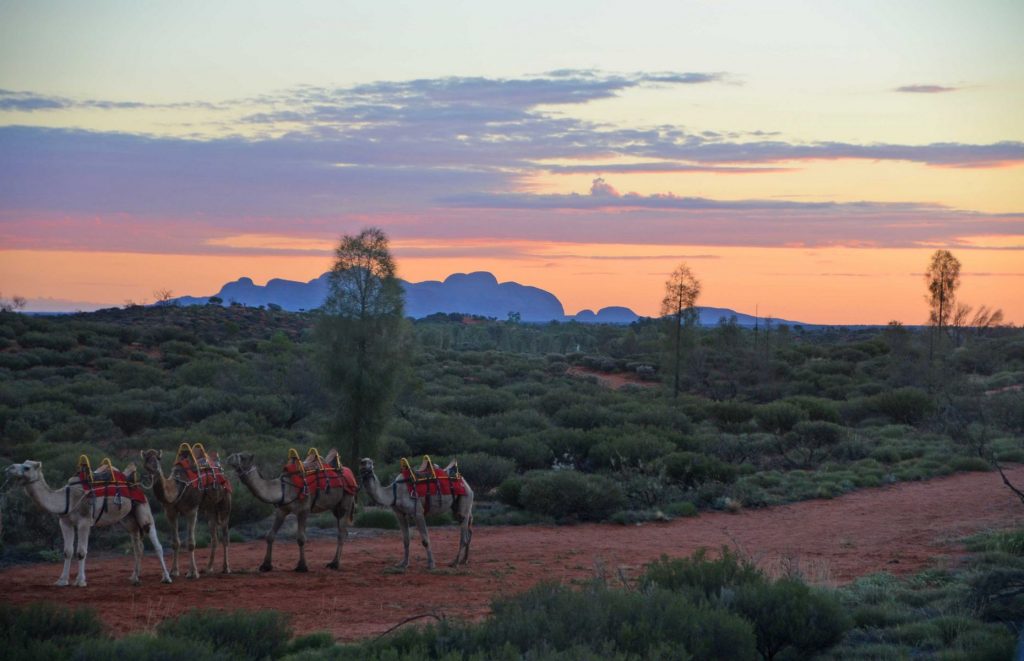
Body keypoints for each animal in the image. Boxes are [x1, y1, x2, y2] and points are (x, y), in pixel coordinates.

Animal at [3, 458, 171, 589]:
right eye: (22, 463)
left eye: (27, 467)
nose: (9, 468)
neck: (66, 499)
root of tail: (134, 483)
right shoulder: (65, 522)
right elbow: (67, 551)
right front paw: (62, 581)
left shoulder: (84, 521)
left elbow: (81, 551)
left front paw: (80, 581)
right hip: (129, 519)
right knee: (138, 546)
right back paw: (135, 578)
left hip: (143, 509)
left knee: (156, 543)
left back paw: (166, 578)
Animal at [140, 446, 232, 581]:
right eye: (146, 458)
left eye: (158, 458)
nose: (152, 467)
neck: (177, 488)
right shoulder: (170, 512)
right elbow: (175, 542)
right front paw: (173, 571)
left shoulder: (192, 510)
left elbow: (191, 543)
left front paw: (193, 573)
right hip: (210, 509)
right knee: (214, 537)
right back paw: (208, 568)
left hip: (225, 501)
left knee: (225, 536)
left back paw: (226, 568)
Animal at [224, 450, 356, 573]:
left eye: (243, 457)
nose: (229, 458)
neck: (284, 488)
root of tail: (350, 473)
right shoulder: (282, 510)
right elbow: (270, 535)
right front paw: (265, 565)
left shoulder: (303, 510)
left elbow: (301, 538)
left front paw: (302, 566)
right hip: (336, 508)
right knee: (343, 531)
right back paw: (333, 562)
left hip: (346, 501)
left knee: (341, 533)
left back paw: (334, 564)